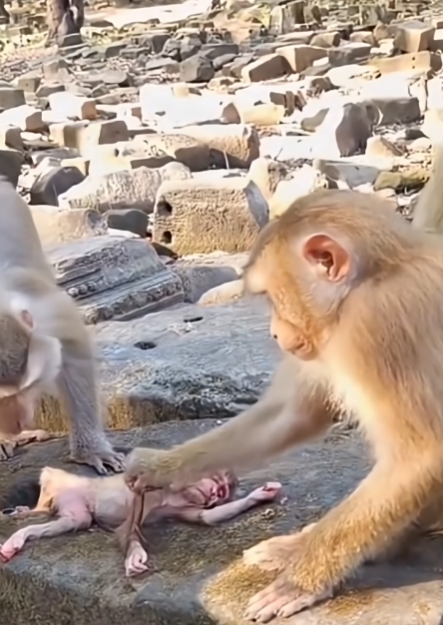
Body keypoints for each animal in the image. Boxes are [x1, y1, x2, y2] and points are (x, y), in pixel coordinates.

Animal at [0, 466, 282, 578]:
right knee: (50, 477)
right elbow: (129, 525)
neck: (178, 492)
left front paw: (259, 495)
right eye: (217, 486)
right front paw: (135, 556)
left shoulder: (183, 506)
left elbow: (205, 517)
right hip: (69, 485)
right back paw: (24, 518)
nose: (214, 496)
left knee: (75, 519)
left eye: (222, 494)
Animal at [123, 184, 443, 620]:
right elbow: (292, 415)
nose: (274, 333)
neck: (378, 275)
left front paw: (303, 579)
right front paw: (157, 467)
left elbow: (422, 455)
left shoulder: (376, 325)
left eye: (274, 296)